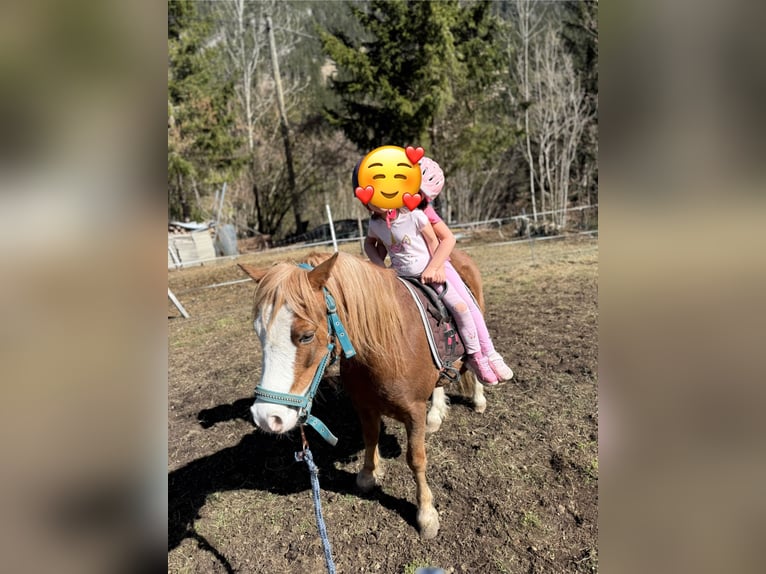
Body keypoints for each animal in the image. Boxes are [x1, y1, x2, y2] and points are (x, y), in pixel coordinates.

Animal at [238, 250, 487, 539]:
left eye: (307, 336)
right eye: (259, 332)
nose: (267, 417)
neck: (387, 344)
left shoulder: (413, 411)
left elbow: (416, 459)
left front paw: (426, 515)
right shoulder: (364, 405)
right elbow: (370, 438)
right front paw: (368, 475)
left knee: (475, 357)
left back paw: (479, 399)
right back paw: (435, 414)